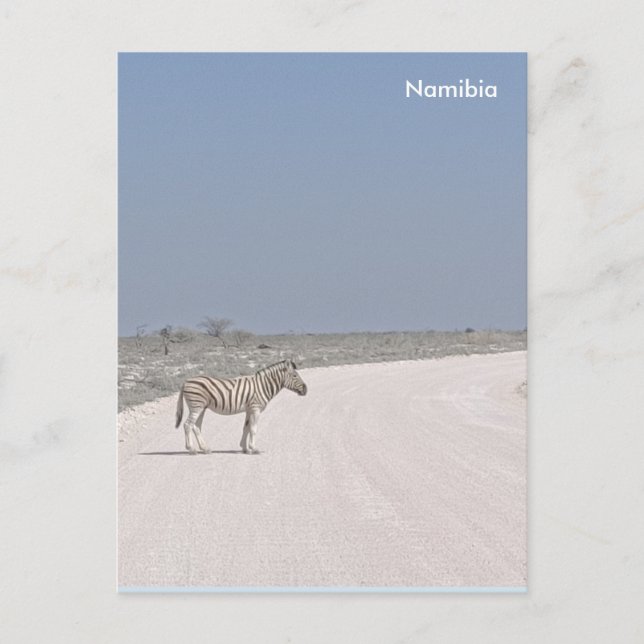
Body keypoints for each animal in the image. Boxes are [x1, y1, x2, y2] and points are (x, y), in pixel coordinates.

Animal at [174, 359, 308, 454]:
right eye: (295, 376)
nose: (306, 390)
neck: (263, 386)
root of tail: (186, 381)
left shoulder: (249, 409)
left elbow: (246, 428)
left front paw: (245, 449)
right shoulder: (255, 409)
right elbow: (253, 429)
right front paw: (254, 449)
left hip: (201, 407)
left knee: (196, 427)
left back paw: (205, 449)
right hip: (196, 406)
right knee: (187, 425)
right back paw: (191, 449)